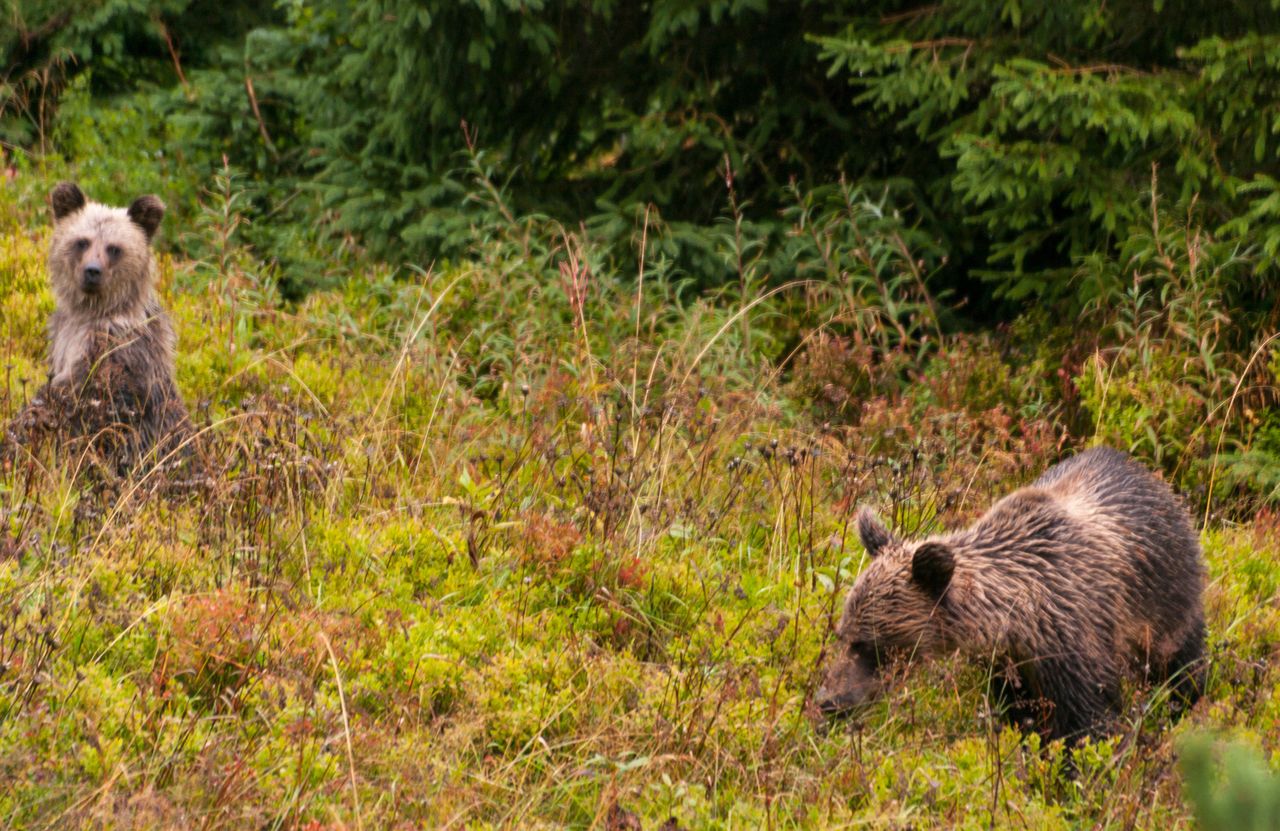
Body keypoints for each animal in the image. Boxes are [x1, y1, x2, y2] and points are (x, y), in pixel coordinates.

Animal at [3, 181, 189, 473]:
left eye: (114, 248)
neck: (92, 311)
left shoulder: (114, 349)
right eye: (82, 241)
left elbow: (78, 395)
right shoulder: (63, 334)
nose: (92, 271)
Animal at [814, 448, 1203, 737]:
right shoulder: (1010, 666)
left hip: (1168, 602)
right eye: (842, 634)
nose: (828, 700)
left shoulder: (1079, 640)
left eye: (869, 644)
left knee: (1183, 664)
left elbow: (1091, 722)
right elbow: (1021, 713)